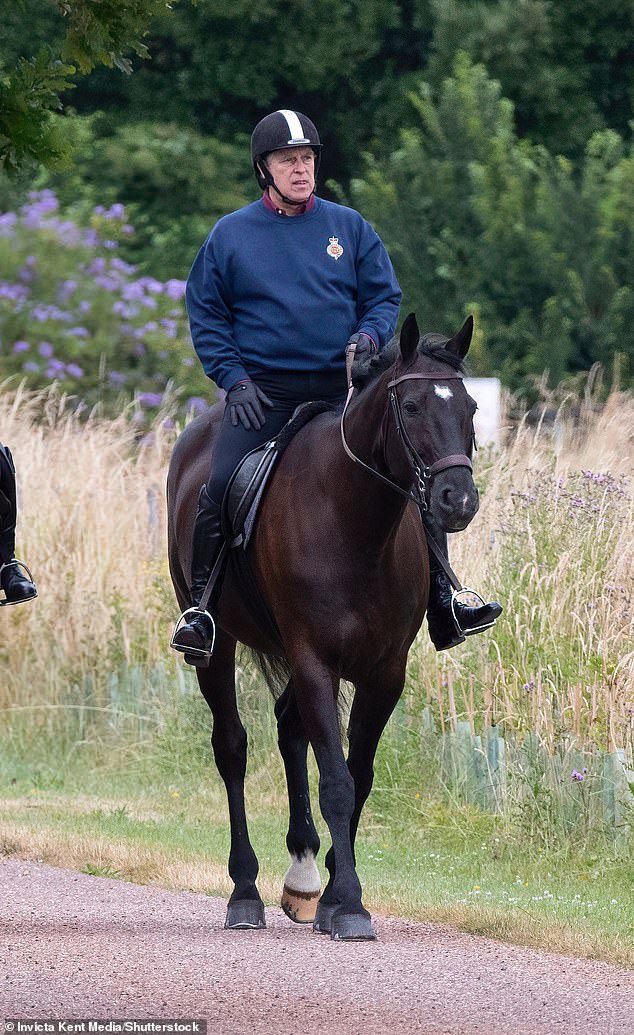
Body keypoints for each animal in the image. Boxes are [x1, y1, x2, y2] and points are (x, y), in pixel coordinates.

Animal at [168, 312, 479, 939]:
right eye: (411, 406)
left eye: (472, 407)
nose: (457, 500)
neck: (352, 521)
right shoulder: (314, 659)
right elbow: (336, 781)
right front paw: (352, 903)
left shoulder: (385, 673)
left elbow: (358, 777)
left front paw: (335, 893)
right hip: (218, 649)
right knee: (232, 747)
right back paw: (245, 892)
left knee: (290, 728)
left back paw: (303, 875)